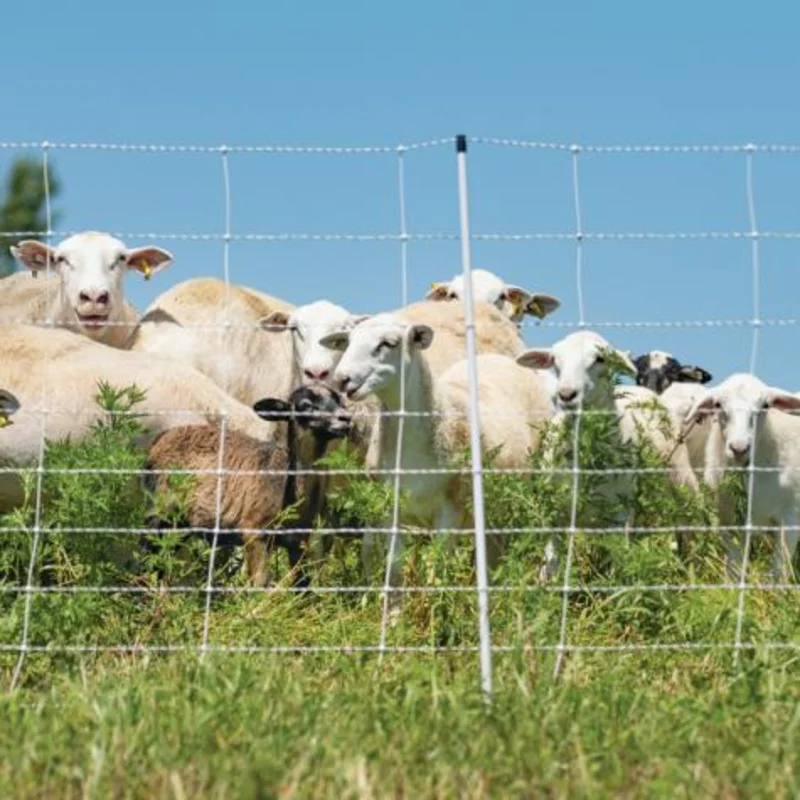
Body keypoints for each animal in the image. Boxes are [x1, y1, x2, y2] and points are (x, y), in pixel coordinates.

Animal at [144, 384, 351, 587]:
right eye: (306, 405)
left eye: (338, 399)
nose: (345, 418)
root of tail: (161, 438)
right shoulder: (254, 531)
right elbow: (260, 582)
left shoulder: (299, 541)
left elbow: (302, 583)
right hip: (161, 509)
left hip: (182, 523)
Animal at [516, 331, 699, 580]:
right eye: (555, 361)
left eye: (600, 359)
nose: (566, 394)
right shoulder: (555, 512)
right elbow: (551, 563)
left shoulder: (617, 515)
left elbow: (616, 564)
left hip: (679, 482)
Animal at [684, 373, 800, 581]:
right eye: (718, 404)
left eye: (765, 405)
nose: (739, 448)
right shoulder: (729, 523)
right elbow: (734, 569)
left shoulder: (790, 520)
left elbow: (778, 573)